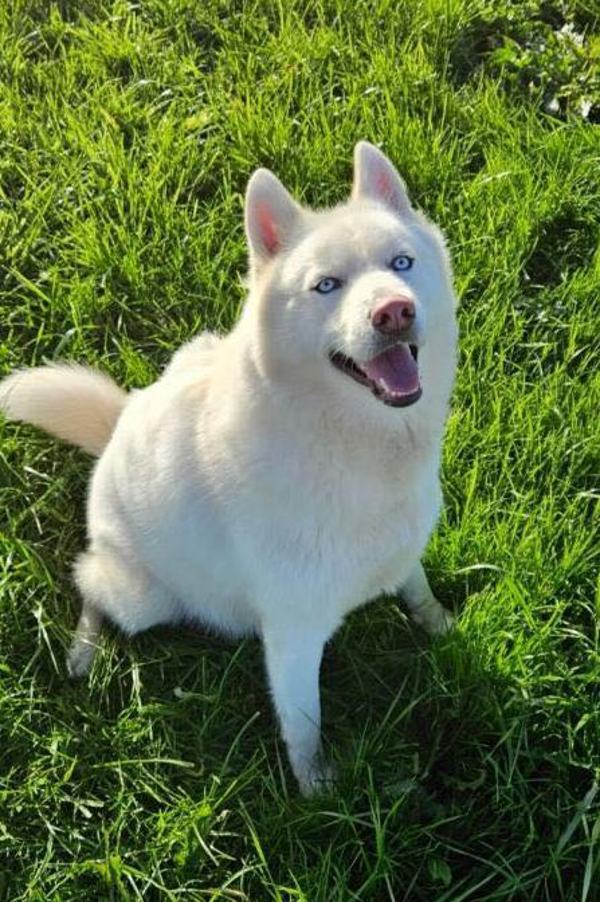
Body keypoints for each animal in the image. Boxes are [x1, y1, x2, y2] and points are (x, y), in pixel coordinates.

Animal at [1, 143, 460, 800]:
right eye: (326, 285)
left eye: (402, 262)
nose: (394, 311)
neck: (352, 445)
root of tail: (118, 422)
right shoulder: (293, 635)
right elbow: (303, 723)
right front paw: (317, 793)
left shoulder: (401, 551)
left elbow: (417, 587)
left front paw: (439, 623)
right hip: (142, 596)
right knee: (89, 582)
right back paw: (84, 651)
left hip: (195, 349)